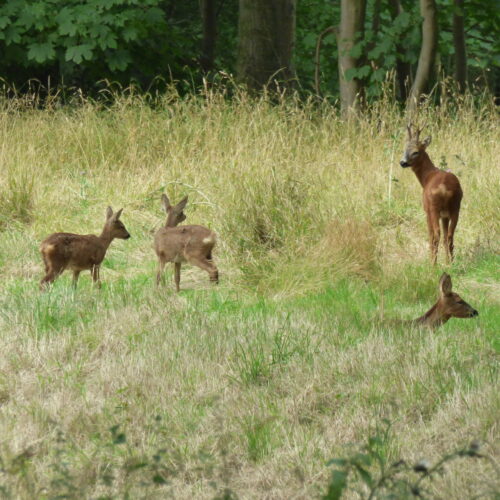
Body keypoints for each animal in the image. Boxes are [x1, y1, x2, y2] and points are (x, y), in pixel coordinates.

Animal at [400, 124, 462, 266]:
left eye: (415, 152)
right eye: (404, 149)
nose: (402, 162)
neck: (426, 177)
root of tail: (444, 188)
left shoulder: (426, 210)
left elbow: (430, 236)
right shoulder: (445, 215)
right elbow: (445, 236)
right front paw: (447, 262)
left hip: (434, 208)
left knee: (436, 236)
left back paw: (433, 265)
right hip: (455, 207)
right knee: (449, 236)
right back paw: (451, 263)